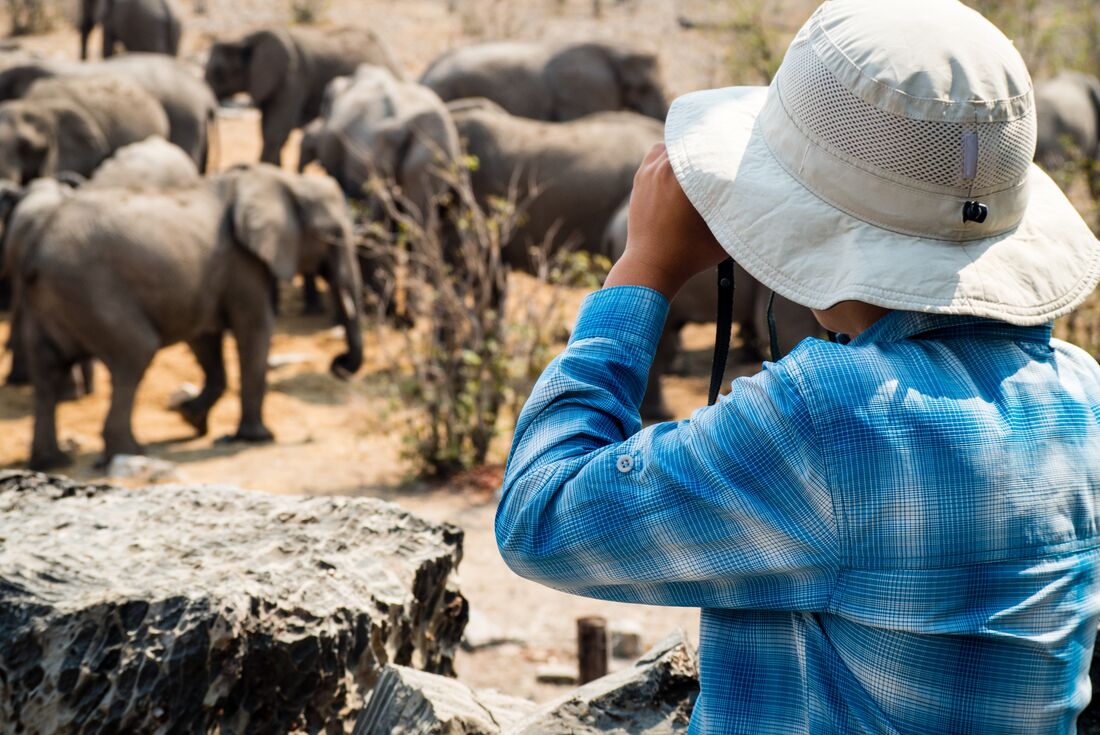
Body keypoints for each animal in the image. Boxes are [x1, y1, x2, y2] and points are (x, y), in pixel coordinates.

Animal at [10, 164, 364, 470]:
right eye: (332, 235)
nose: (339, 364)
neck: (284, 181)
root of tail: (35, 250)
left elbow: (205, 338)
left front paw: (189, 416)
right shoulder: (241, 261)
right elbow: (254, 328)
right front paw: (258, 437)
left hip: (45, 305)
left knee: (47, 373)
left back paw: (51, 462)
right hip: (93, 293)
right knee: (134, 354)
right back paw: (131, 451)